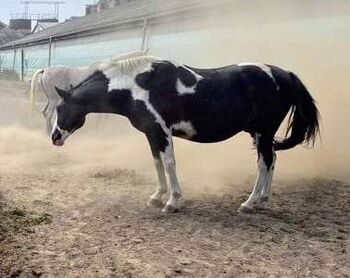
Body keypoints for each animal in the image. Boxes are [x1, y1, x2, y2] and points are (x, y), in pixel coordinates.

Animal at [52, 52, 320, 213]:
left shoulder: (162, 131)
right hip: (259, 133)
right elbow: (157, 162)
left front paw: (172, 202)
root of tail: (286, 74)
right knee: (272, 159)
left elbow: (170, 163)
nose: (55, 137)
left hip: (263, 132)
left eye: (60, 108)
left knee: (264, 163)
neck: (135, 87)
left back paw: (249, 203)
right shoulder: (152, 133)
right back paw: (264, 198)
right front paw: (157, 196)